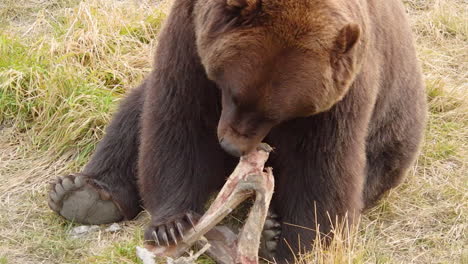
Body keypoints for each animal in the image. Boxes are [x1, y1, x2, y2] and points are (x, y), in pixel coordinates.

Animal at [48, 0, 428, 260]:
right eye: (233, 92)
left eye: (279, 113)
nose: (231, 147)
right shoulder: (191, 40)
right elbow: (179, 122)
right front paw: (172, 224)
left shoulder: (343, 92)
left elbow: (323, 168)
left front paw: (296, 245)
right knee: (133, 116)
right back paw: (82, 194)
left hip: (393, 141)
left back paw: (268, 232)